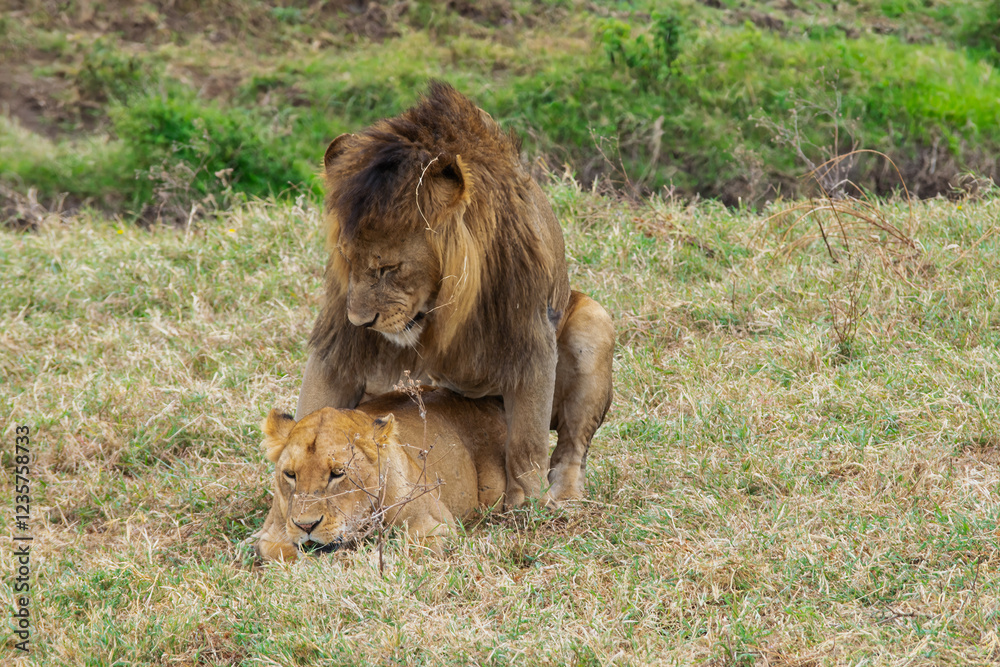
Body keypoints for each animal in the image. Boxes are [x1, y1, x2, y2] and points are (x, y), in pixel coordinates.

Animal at [255, 388, 507, 562]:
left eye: (338, 473)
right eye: (290, 474)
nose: (305, 526)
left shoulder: (438, 530)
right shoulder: (269, 538)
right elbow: (287, 554)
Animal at [297, 82, 614, 508]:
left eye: (388, 268)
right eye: (348, 260)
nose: (361, 322)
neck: (444, 305)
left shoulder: (531, 334)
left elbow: (528, 442)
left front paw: (527, 505)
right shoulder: (340, 339)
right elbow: (316, 404)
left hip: (592, 321)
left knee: (570, 447)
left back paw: (565, 498)